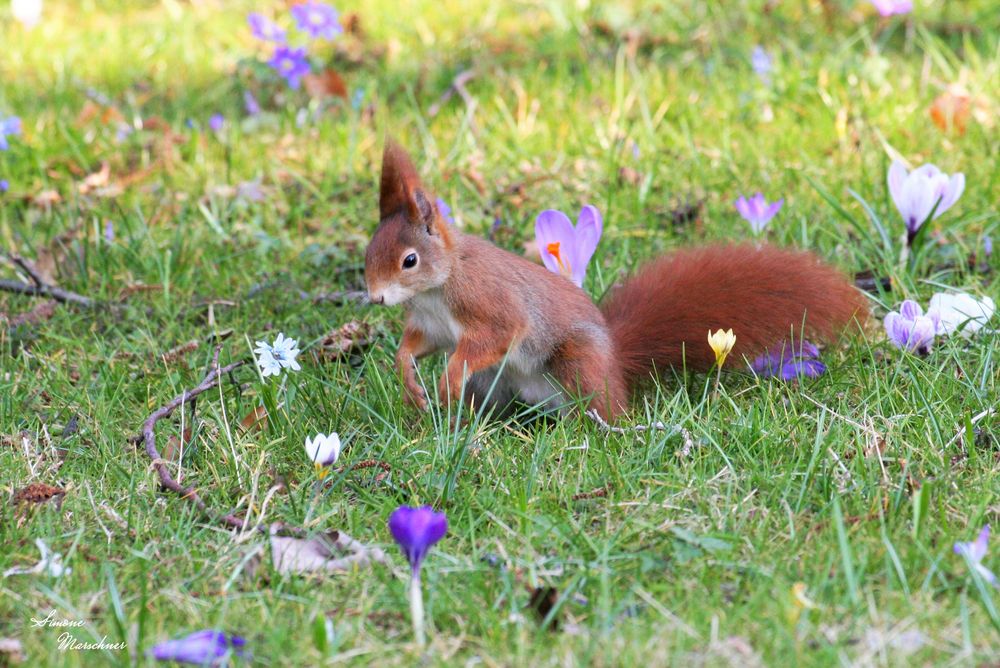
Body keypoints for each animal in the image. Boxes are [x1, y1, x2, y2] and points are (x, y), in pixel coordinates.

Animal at [366, 140, 868, 420]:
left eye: (409, 260)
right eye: (369, 252)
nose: (375, 298)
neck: (437, 288)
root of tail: (615, 363)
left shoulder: (488, 302)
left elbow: (495, 335)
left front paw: (447, 376)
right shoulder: (431, 324)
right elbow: (415, 346)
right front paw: (409, 377)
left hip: (576, 363)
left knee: (603, 410)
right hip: (494, 384)